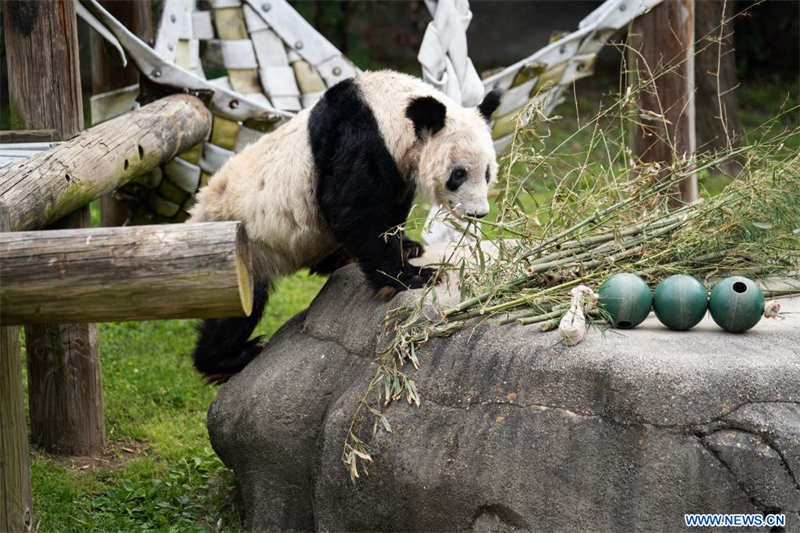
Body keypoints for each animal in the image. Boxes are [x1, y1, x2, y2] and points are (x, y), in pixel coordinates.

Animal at [189, 70, 500, 380]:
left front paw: (408, 247)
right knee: (236, 310)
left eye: (487, 173)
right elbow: (352, 210)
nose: (478, 213)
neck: (389, 109)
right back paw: (230, 357)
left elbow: (389, 209)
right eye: (459, 174)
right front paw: (414, 276)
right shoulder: (358, 138)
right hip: (239, 248)